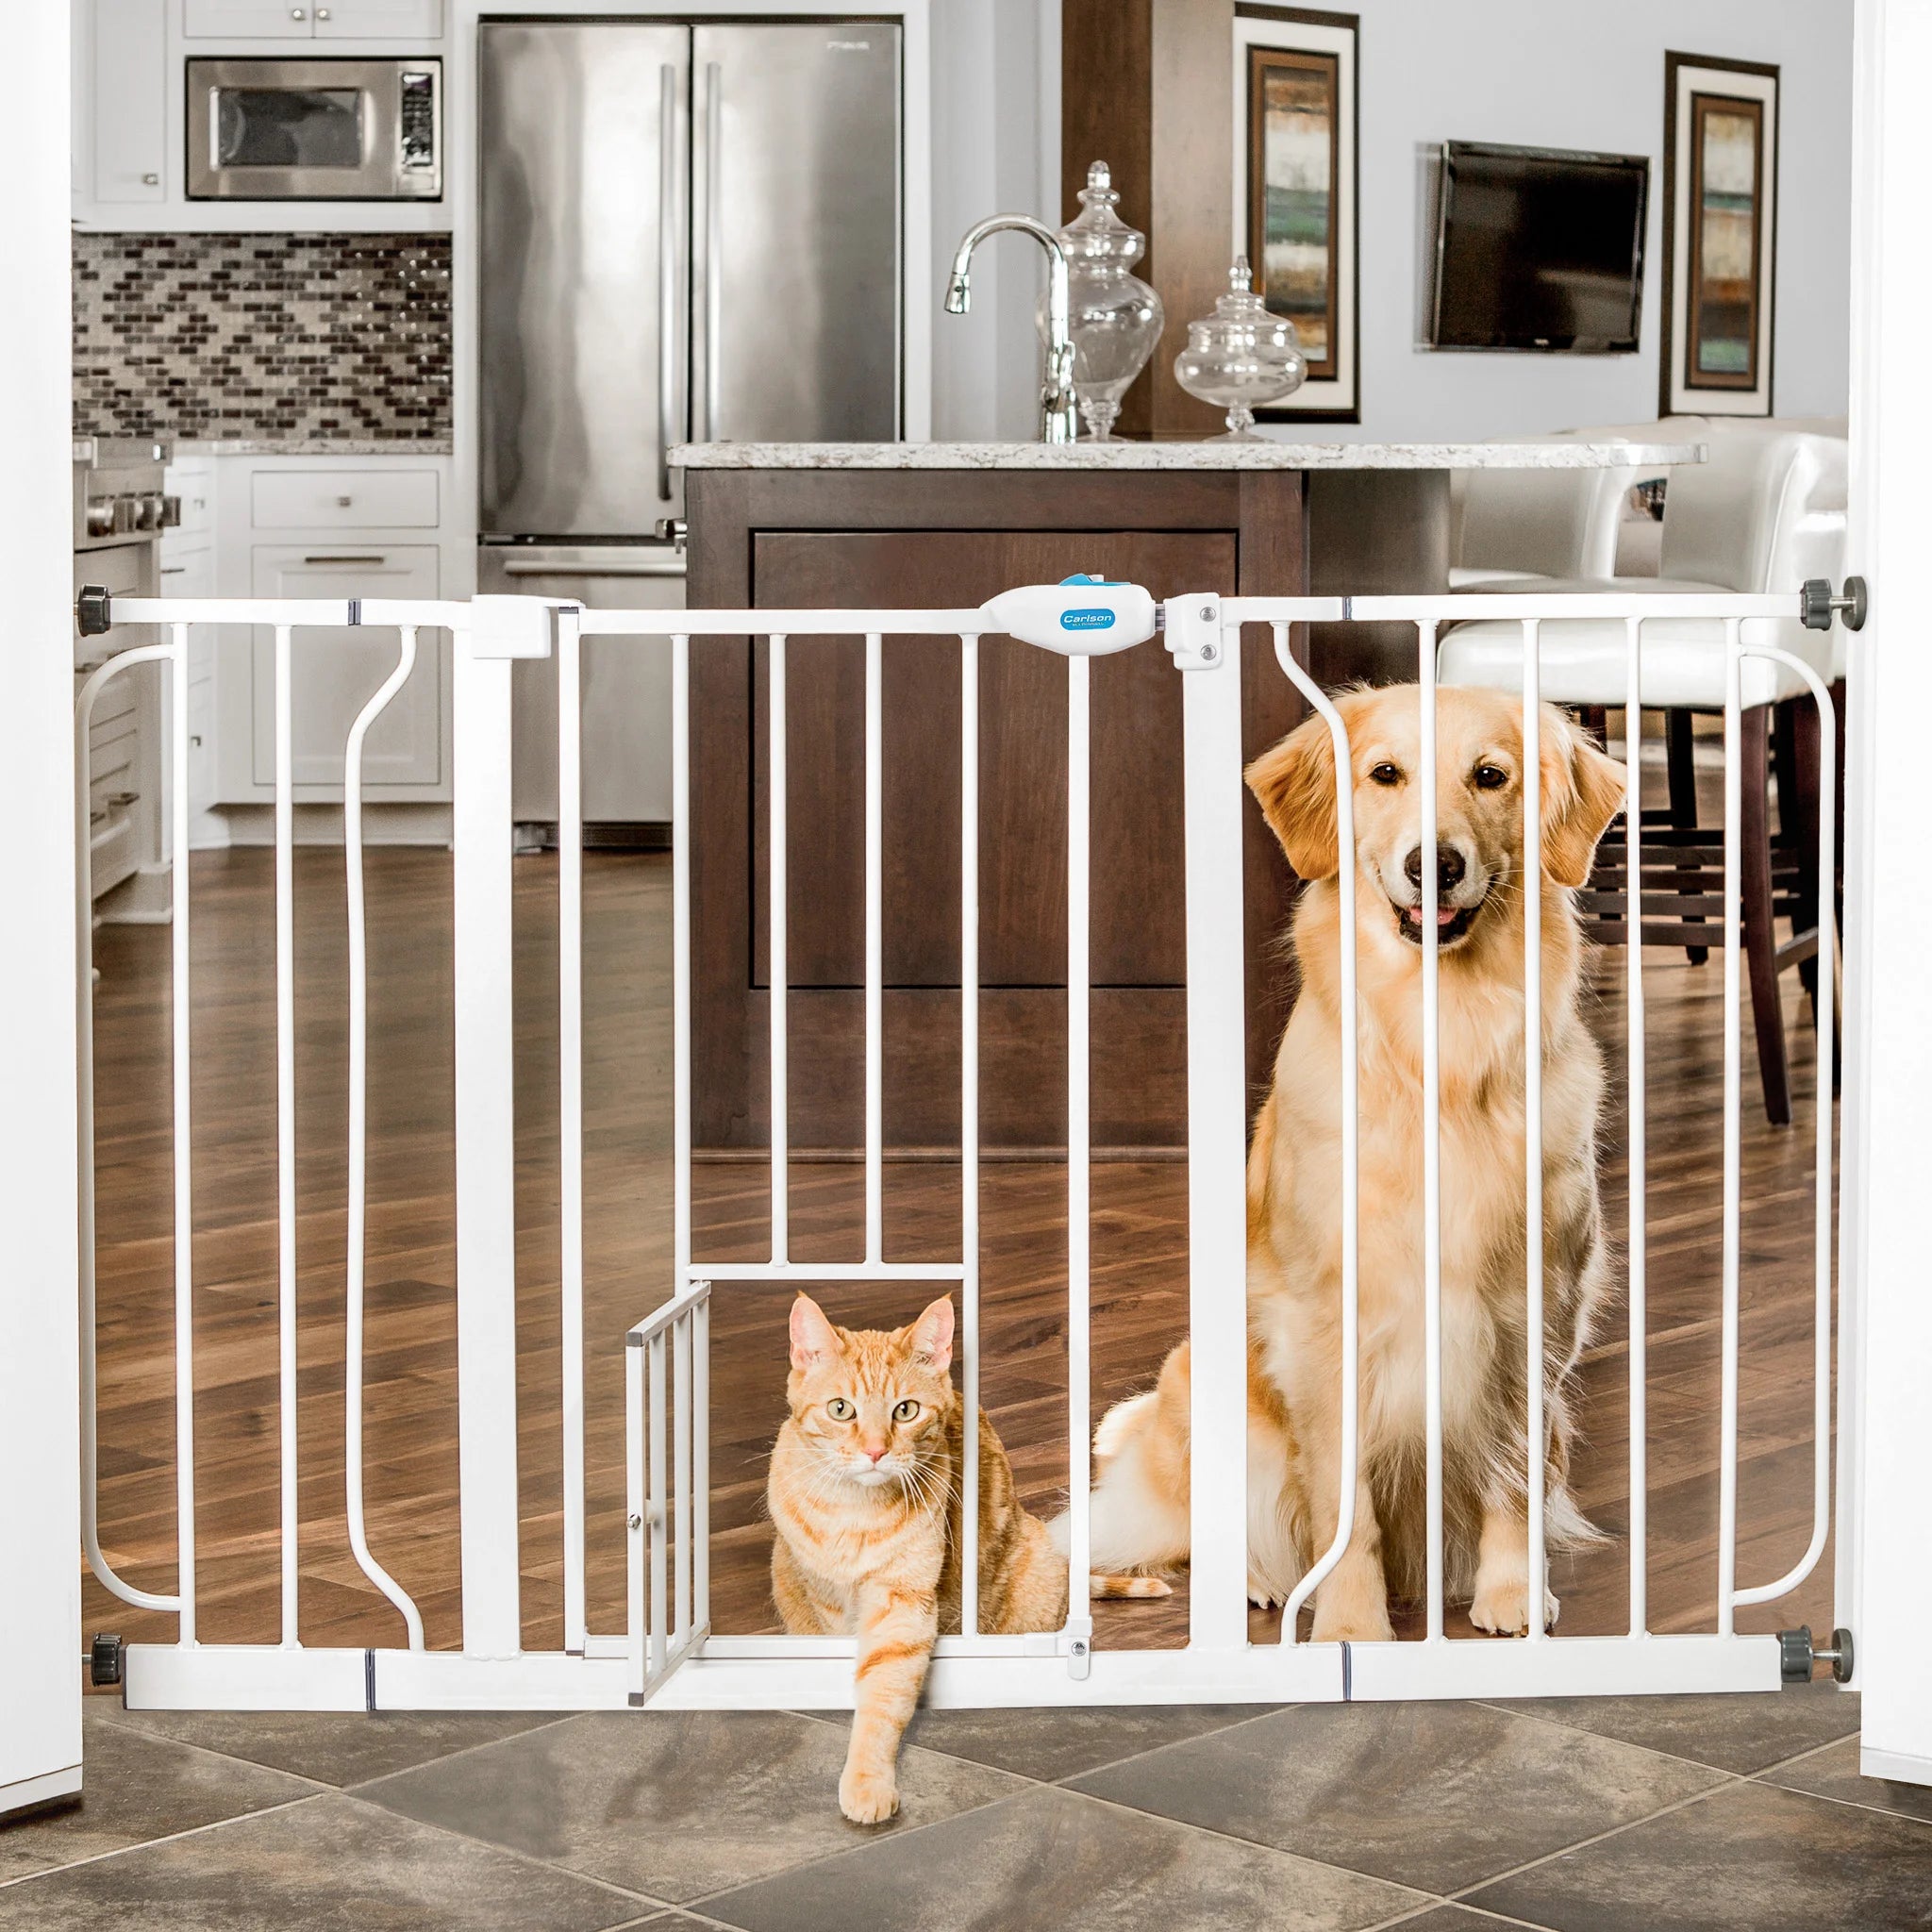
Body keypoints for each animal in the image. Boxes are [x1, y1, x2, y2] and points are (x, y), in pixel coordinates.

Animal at [769, 1291, 1074, 1816]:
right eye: (841, 1409)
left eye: (906, 1411)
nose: (875, 1451)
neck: (855, 1513)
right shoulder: (826, 1600)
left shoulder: (902, 1605)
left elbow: (883, 1693)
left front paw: (868, 1780)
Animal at [1066, 688, 1623, 1638]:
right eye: (1385, 773)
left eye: (1490, 776)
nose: (1435, 865)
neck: (1439, 1056)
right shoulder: (1323, 1327)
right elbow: (1343, 1506)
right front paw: (1352, 1625)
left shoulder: (1537, 1312)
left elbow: (1513, 1473)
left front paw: (1512, 1594)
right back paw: (1261, 1581)